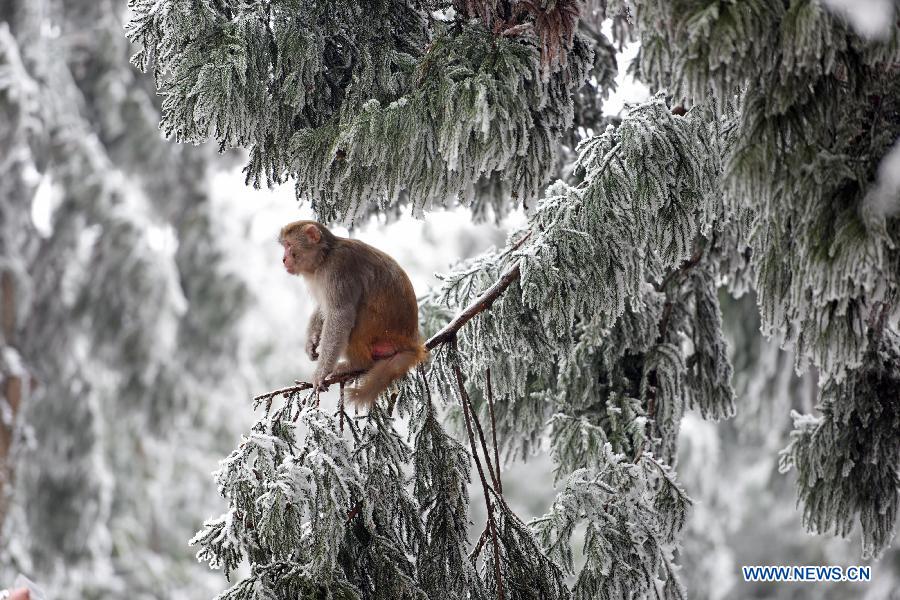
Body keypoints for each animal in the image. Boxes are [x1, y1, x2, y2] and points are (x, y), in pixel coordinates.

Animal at [278, 220, 426, 408]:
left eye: (289, 245)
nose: (283, 259)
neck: (324, 257)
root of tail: (409, 343)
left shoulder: (337, 268)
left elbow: (339, 314)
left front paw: (321, 372)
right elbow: (324, 307)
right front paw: (311, 340)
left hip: (381, 331)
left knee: (354, 316)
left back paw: (357, 364)